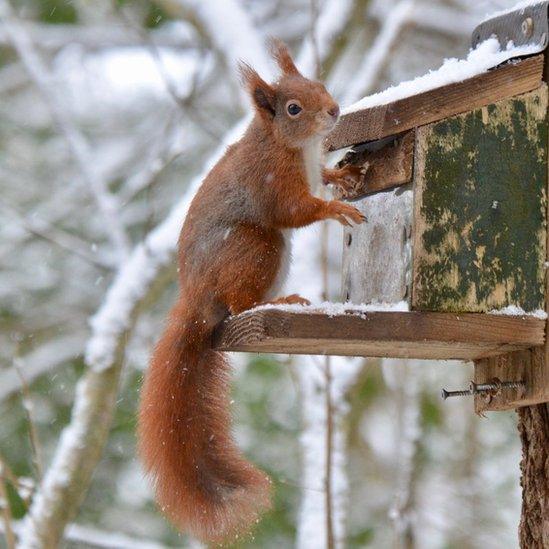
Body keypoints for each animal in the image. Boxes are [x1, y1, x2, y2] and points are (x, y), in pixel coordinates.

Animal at [138, 39, 364, 544]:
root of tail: (197, 299)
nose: (334, 110)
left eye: (319, 82)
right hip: (257, 249)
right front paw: (336, 207)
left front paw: (340, 177)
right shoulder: (271, 178)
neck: (289, 144)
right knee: (242, 301)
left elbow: (321, 178)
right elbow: (295, 210)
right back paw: (278, 302)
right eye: (293, 108)